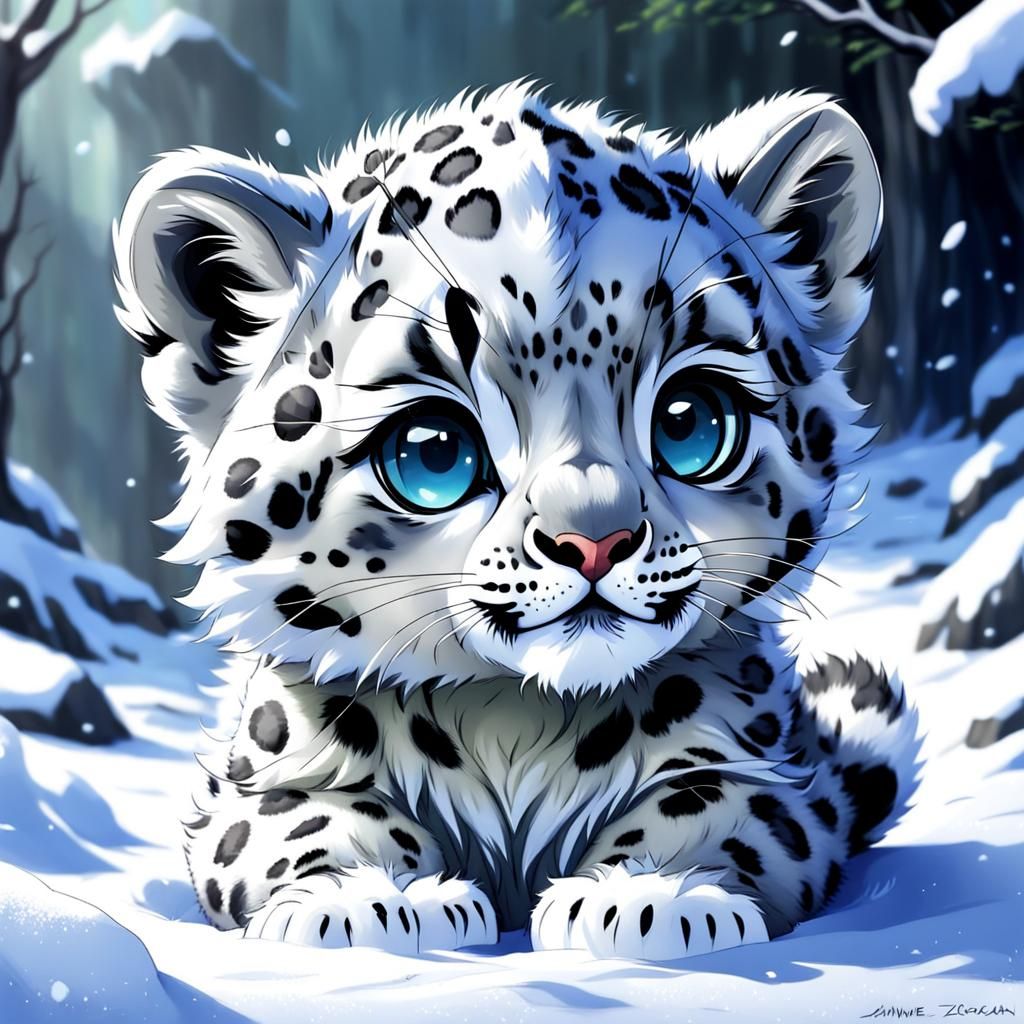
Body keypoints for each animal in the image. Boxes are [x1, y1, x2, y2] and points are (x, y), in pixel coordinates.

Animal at [113, 82, 919, 960]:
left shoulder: (763, 769)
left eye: (690, 420)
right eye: (434, 451)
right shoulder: (266, 778)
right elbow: (305, 821)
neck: (516, 719)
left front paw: (652, 897)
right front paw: (373, 900)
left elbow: (713, 805)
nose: (594, 542)